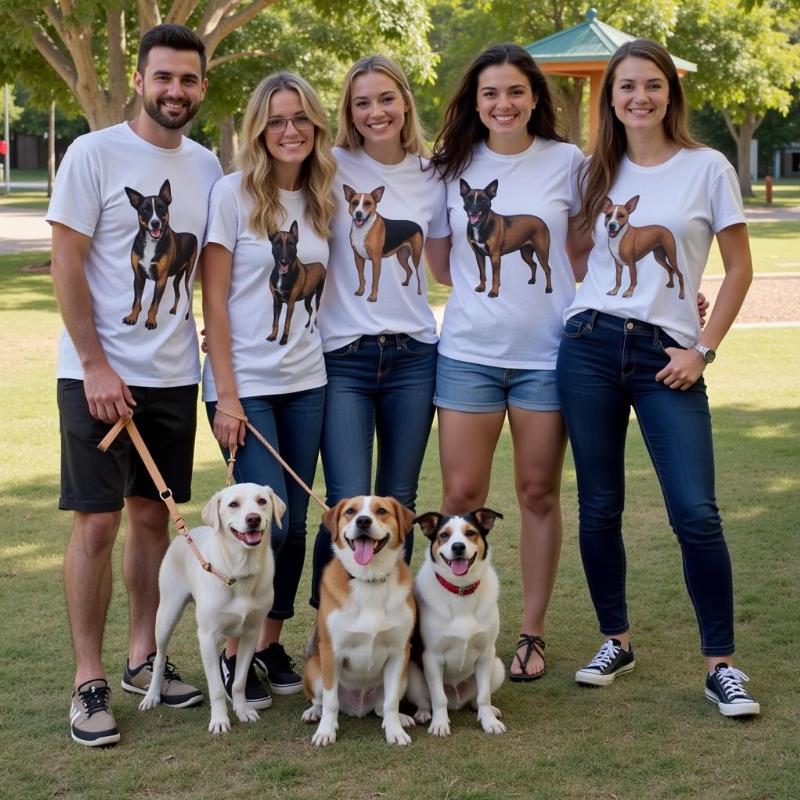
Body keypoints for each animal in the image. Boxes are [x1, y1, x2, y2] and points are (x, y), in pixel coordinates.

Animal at [139, 484, 286, 736]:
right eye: (233, 504)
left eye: (262, 501)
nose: (253, 519)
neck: (240, 571)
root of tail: (186, 534)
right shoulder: (207, 636)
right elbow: (216, 688)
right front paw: (219, 720)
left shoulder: (251, 634)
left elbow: (238, 682)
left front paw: (243, 710)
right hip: (167, 614)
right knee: (158, 658)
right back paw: (152, 696)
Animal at [304, 496, 418, 748]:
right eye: (350, 511)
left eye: (381, 511)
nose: (363, 521)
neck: (370, 580)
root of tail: (359, 707)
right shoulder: (331, 651)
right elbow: (330, 702)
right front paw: (325, 731)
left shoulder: (399, 652)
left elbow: (391, 701)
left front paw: (395, 731)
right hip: (314, 668)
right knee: (322, 700)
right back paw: (314, 712)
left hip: (406, 675)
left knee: (381, 707)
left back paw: (399, 718)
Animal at [406, 510, 506, 736]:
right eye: (444, 535)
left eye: (470, 533)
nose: (458, 547)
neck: (460, 590)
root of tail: (457, 700)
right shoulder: (432, 657)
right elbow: (438, 698)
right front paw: (440, 724)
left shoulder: (486, 653)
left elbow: (484, 695)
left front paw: (488, 722)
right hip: (412, 672)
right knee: (426, 700)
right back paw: (424, 713)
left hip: (497, 666)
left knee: (475, 700)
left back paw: (488, 710)